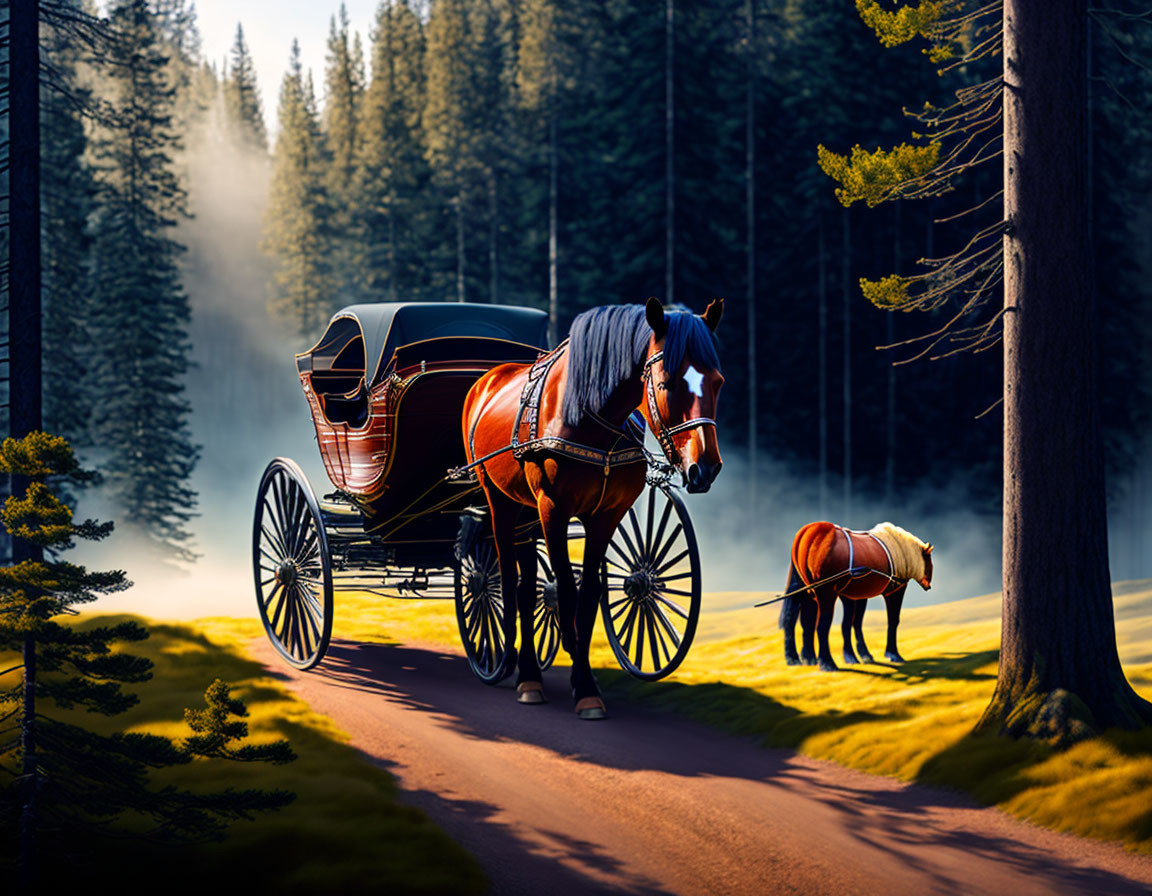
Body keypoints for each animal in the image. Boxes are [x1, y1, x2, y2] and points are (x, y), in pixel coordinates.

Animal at [458, 297, 718, 714]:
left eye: (718, 382)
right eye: (665, 383)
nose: (705, 467)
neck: (591, 418)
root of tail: (487, 379)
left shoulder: (605, 515)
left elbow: (591, 591)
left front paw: (586, 683)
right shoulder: (553, 508)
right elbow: (566, 588)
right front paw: (577, 675)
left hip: (526, 514)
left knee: (527, 585)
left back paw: (531, 671)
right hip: (501, 501)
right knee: (509, 580)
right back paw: (518, 669)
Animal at [778, 515, 930, 672]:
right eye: (928, 562)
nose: (928, 585)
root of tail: (806, 532)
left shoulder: (856, 595)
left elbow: (852, 623)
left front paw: (857, 655)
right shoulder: (895, 591)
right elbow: (892, 621)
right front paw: (892, 654)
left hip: (806, 589)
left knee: (797, 620)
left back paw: (800, 658)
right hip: (824, 593)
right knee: (821, 625)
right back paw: (827, 663)